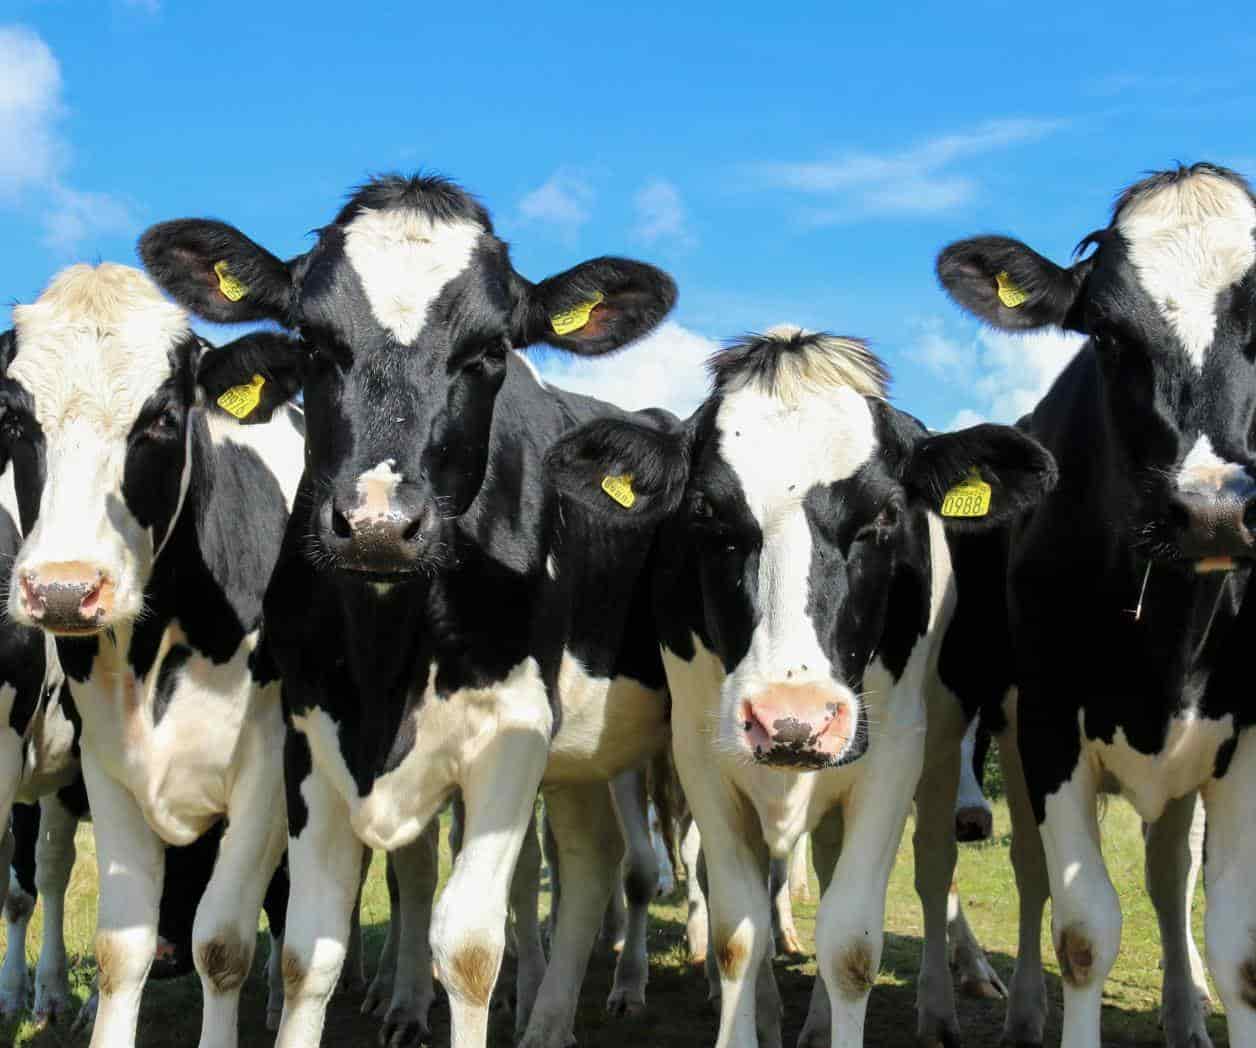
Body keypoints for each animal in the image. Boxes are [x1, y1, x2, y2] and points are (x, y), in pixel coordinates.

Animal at [1, 262, 305, 1048]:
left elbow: (223, 945)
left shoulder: (266, 770)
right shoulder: (107, 763)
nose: (63, 589)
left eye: (163, 418)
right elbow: (120, 950)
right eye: (13, 419)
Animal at [139, 172, 679, 1048]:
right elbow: (309, 949)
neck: (386, 661)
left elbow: (469, 947)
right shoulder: (309, 731)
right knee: (594, 858)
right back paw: (547, 1022)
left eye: (490, 352)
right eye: (313, 341)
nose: (378, 524)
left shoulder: (514, 730)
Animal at [544, 326, 1056, 1047]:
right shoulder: (701, 756)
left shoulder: (893, 754)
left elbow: (850, 942)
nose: (793, 719)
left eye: (885, 516)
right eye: (707, 514)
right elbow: (736, 931)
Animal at [935, 161, 1256, 1048]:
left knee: (1170, 875)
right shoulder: (1048, 721)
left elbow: (1236, 944)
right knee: (1032, 874)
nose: (1211, 510)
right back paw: (1020, 1011)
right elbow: (1082, 929)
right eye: (1107, 337)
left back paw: (1185, 1011)